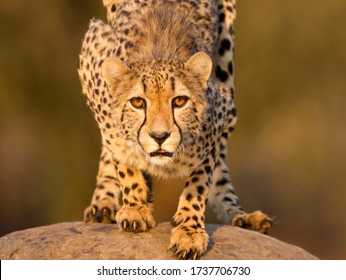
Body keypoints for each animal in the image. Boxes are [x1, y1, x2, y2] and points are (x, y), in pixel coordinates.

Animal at [78, 0, 274, 260]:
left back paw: (240, 215)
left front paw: (189, 231)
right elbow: (122, 156)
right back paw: (104, 204)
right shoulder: (94, 65)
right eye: (138, 102)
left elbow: (199, 183)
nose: (160, 137)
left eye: (179, 101)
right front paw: (136, 208)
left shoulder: (220, 121)